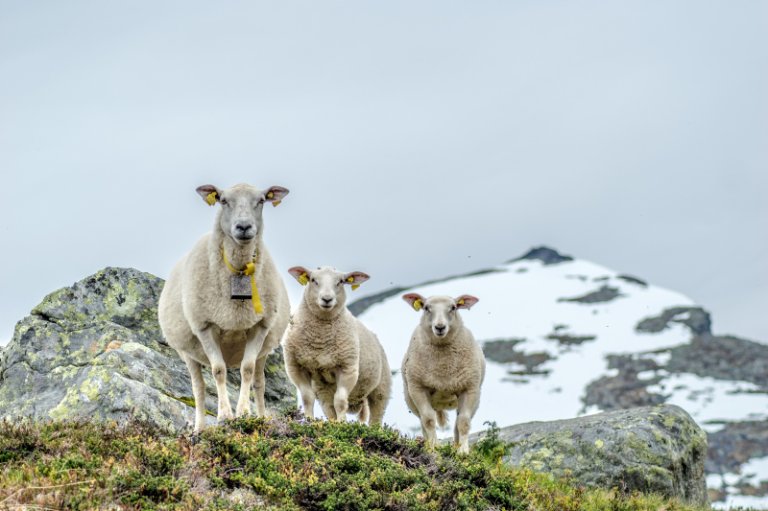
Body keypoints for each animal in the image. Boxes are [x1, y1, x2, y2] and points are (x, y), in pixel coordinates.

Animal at [158, 184, 290, 432]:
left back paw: (261, 418)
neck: (238, 270)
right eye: (223, 200)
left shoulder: (259, 326)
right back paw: (199, 428)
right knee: (198, 387)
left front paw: (244, 413)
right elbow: (218, 371)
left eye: (261, 200)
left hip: (265, 350)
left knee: (259, 383)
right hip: (187, 351)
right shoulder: (205, 326)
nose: (244, 227)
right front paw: (225, 416)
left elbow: (247, 370)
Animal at [280, 266, 390, 426]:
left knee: (376, 417)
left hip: (381, 389)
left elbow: (341, 401)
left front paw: (342, 424)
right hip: (324, 390)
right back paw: (333, 424)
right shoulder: (296, 367)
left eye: (341, 282)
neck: (320, 340)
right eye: (313, 280)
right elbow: (307, 398)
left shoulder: (347, 368)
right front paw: (308, 421)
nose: (327, 299)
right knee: (330, 407)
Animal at [400, 294, 484, 454]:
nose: (440, 327)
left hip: (475, 399)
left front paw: (463, 451)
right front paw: (433, 447)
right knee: (423, 422)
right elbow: (428, 419)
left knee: (458, 422)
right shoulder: (417, 388)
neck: (443, 370)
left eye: (453, 307)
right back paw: (429, 444)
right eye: (426, 307)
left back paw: (456, 446)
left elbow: (464, 421)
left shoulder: (469, 388)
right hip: (410, 399)